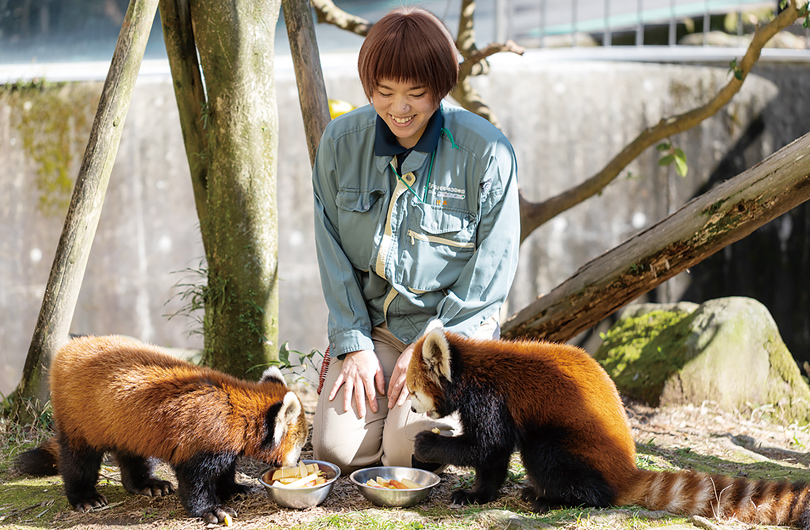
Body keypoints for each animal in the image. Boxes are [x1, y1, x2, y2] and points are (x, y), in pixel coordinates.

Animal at [16, 334, 306, 520]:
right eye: (300, 446)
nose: (295, 464)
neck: (236, 411)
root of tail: (71, 346)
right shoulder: (199, 440)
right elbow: (195, 480)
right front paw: (211, 510)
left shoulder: (225, 442)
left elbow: (224, 470)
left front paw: (232, 489)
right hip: (80, 416)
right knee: (78, 459)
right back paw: (85, 496)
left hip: (127, 425)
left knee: (134, 455)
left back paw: (146, 484)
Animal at [408, 322, 808, 528]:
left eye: (411, 391)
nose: (410, 408)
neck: (470, 367)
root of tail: (627, 470)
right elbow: (494, 456)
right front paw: (479, 494)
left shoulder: (491, 398)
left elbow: (485, 446)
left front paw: (426, 444)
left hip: (571, 450)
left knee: (547, 455)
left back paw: (551, 500)